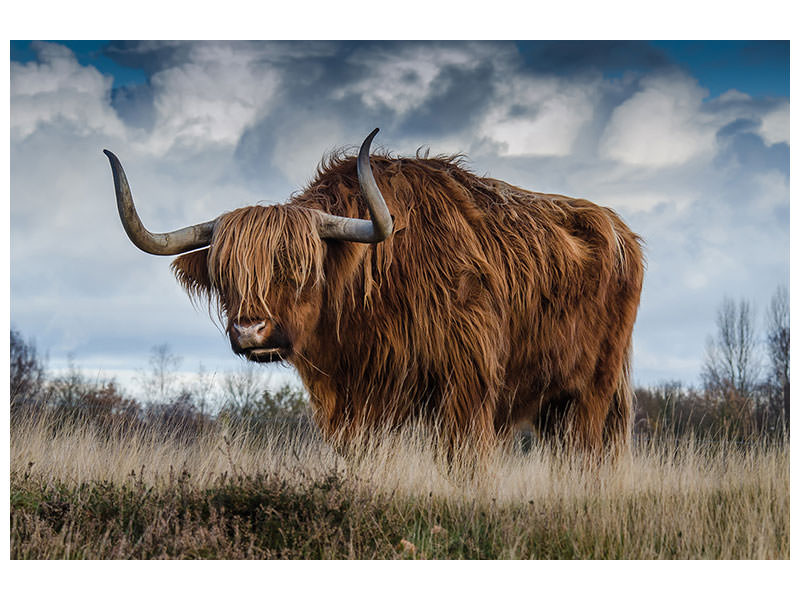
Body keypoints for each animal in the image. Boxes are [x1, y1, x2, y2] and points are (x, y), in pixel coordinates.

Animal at [104, 128, 644, 457]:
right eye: (225, 275)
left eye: (301, 268)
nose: (250, 331)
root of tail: (620, 230)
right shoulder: (352, 401)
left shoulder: (467, 386)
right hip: (555, 401)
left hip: (593, 390)